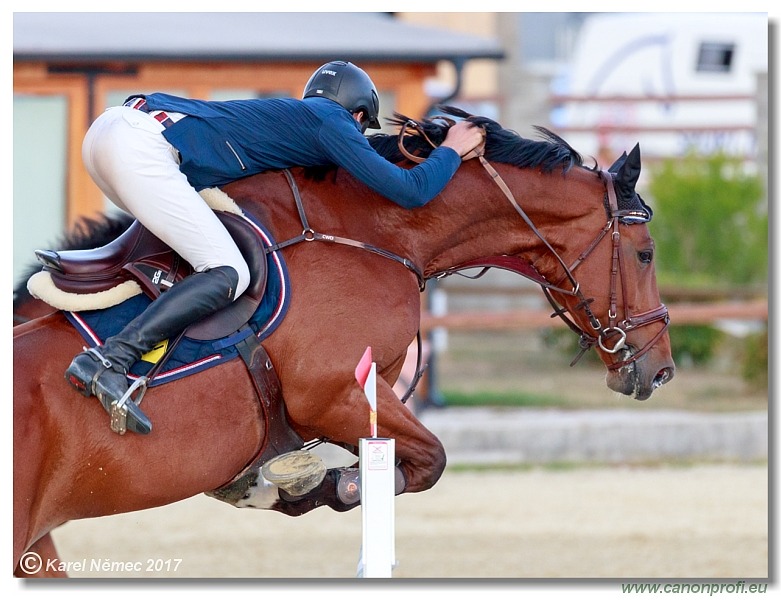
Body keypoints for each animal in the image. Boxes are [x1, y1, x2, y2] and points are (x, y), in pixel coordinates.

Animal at [12, 109, 672, 576]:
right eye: (645, 253)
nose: (659, 371)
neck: (376, 232)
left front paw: (279, 484)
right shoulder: (331, 395)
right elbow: (427, 461)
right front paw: (322, 484)